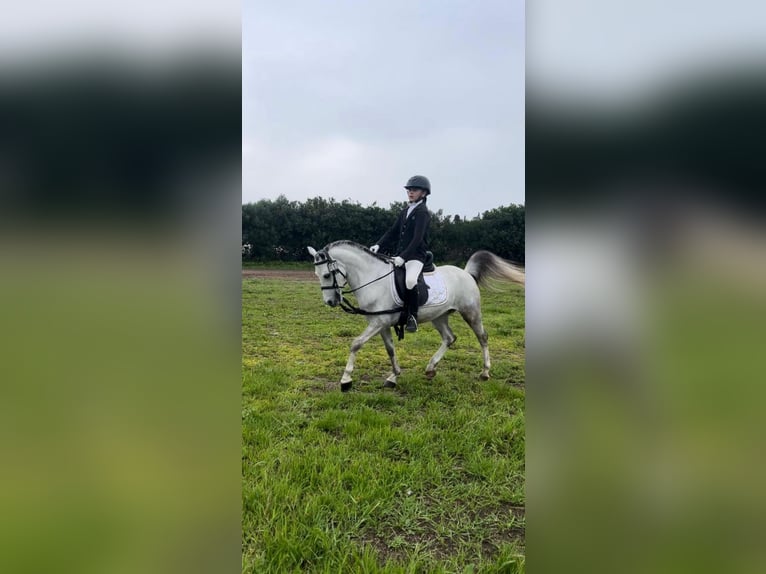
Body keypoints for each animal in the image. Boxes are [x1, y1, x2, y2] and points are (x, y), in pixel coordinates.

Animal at [307, 241, 525, 391]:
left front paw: (346, 380)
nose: (330, 302)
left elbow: (356, 344)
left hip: (471, 313)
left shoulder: (378, 322)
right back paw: (430, 369)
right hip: (439, 316)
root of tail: (466, 272)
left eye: (326, 275)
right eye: (317, 275)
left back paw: (485, 372)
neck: (373, 279)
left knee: (482, 338)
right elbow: (390, 350)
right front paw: (393, 377)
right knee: (449, 338)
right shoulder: (381, 324)